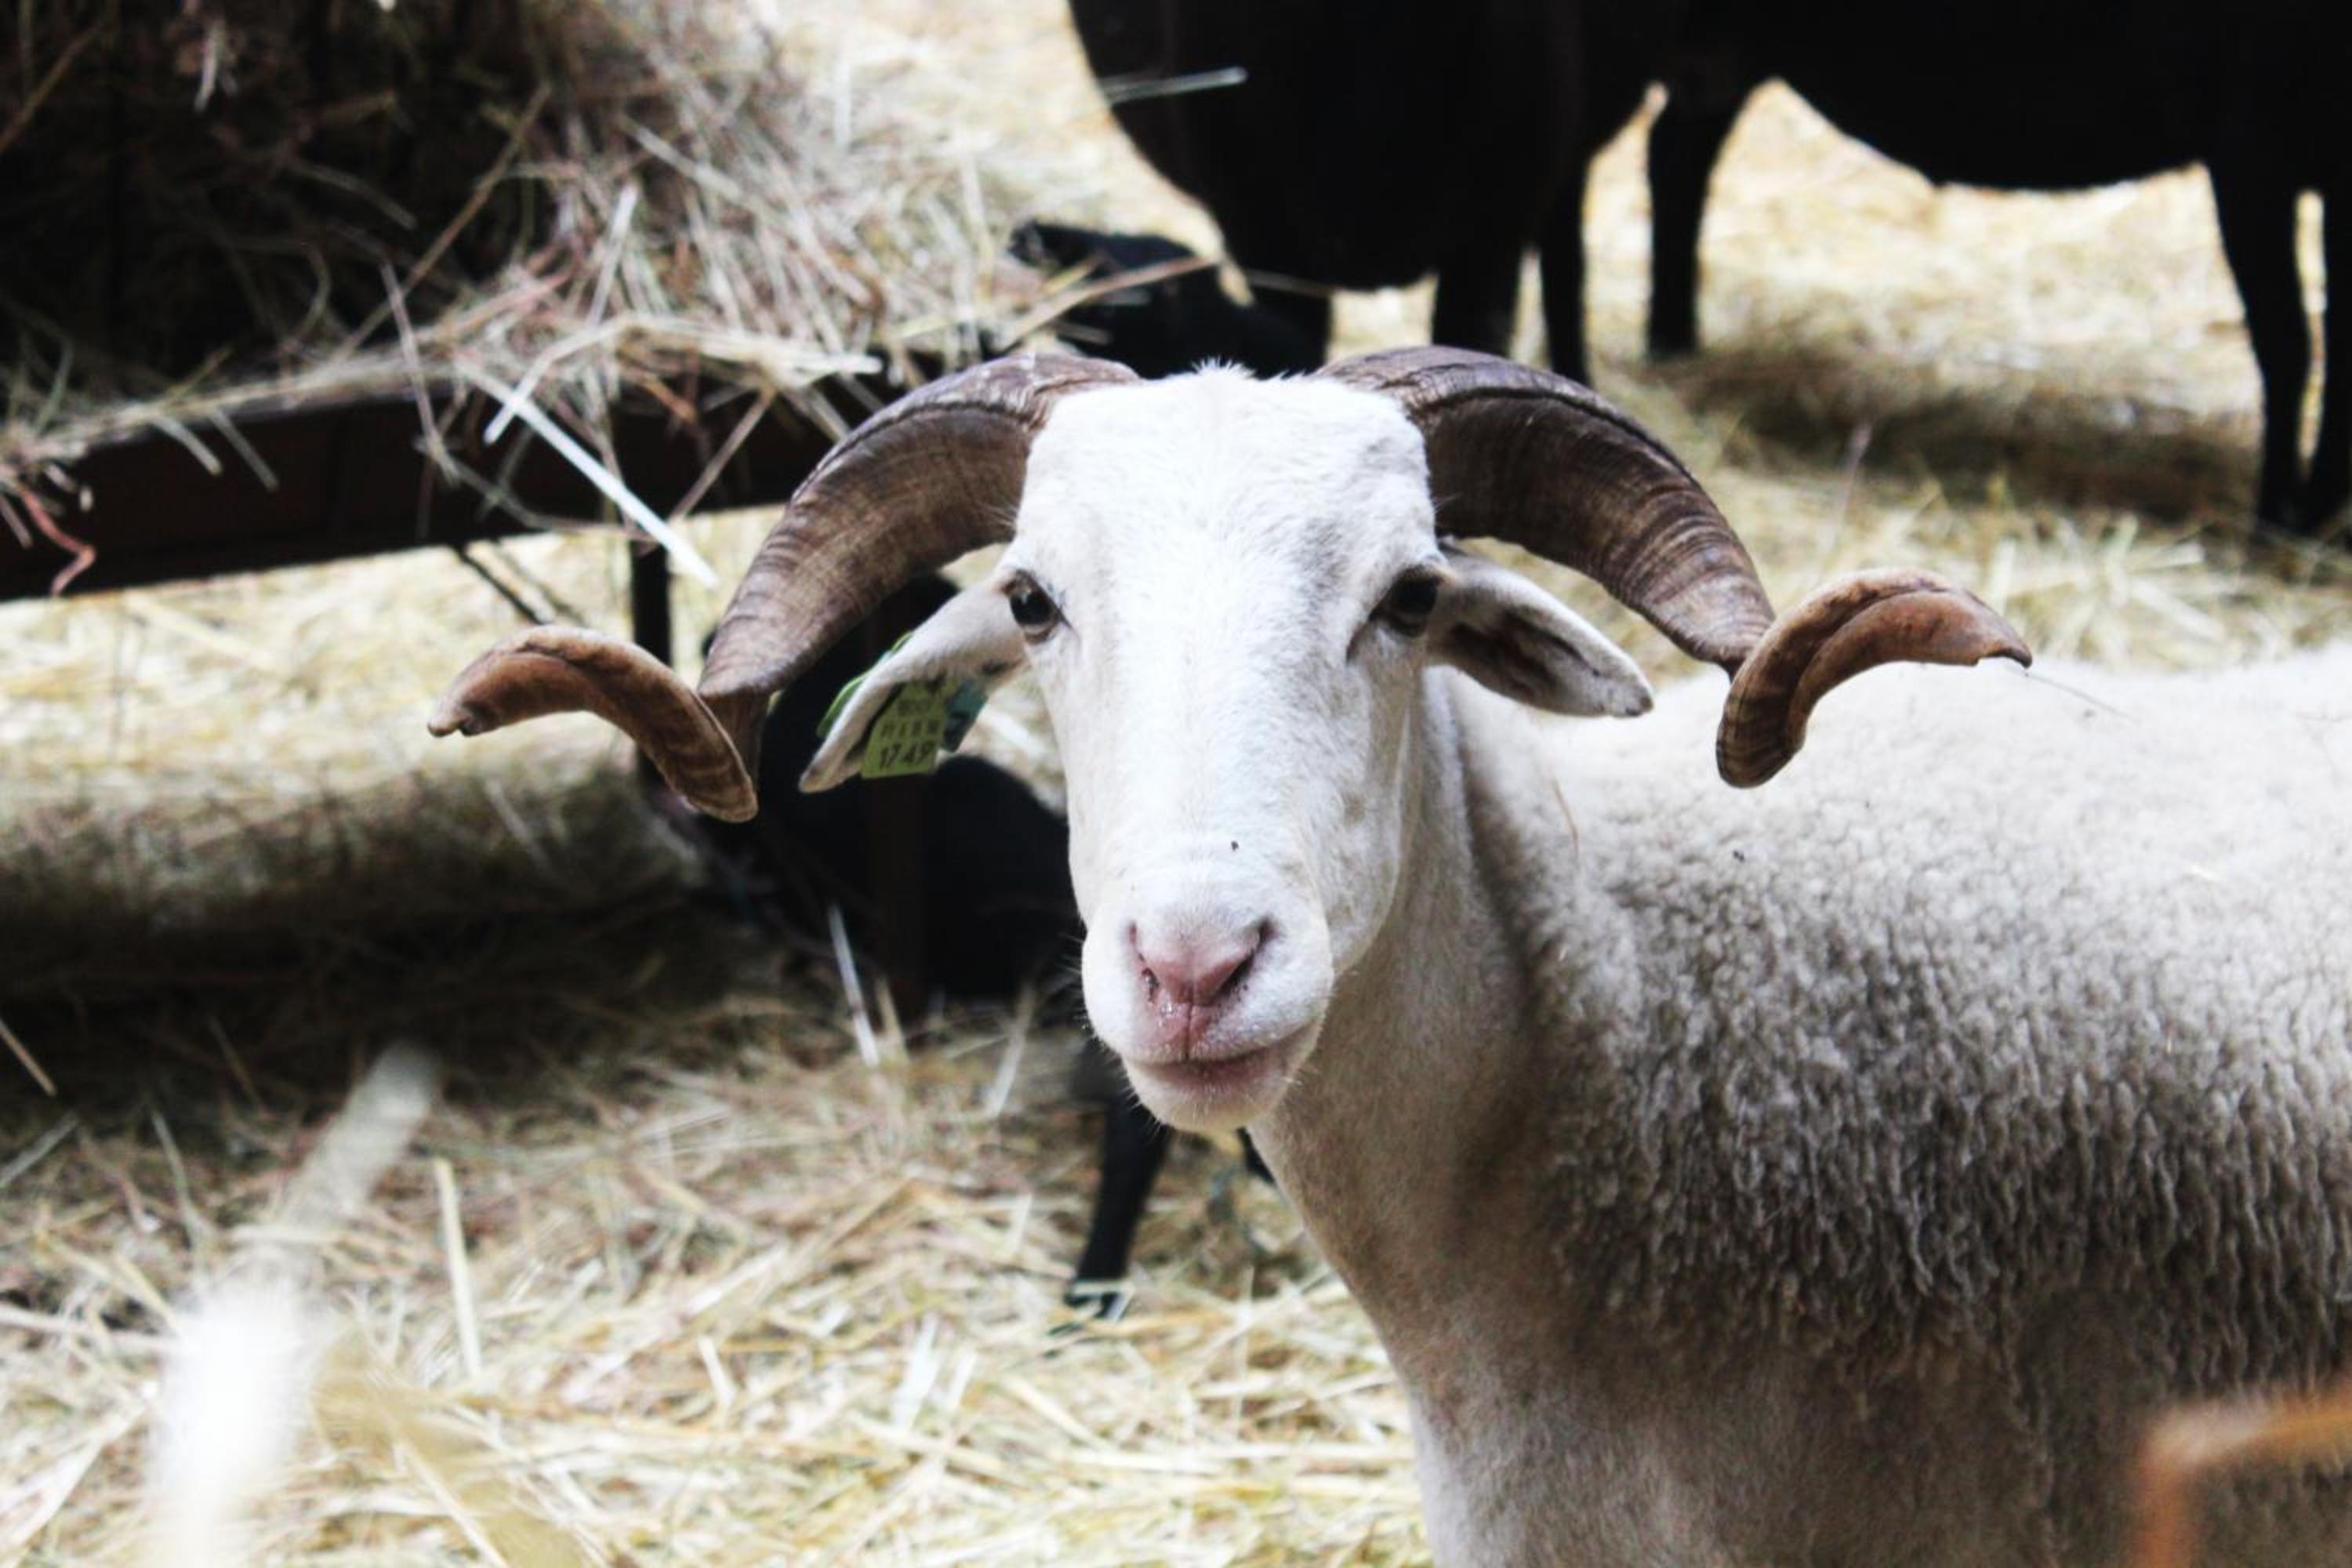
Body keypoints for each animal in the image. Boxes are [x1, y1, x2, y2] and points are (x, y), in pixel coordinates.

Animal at [1646, 1, 2350, 529]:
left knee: (1677, 149)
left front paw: (2314, 512)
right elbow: (2286, 341)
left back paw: (1674, 342)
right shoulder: (2249, 142)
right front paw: (2279, 514)